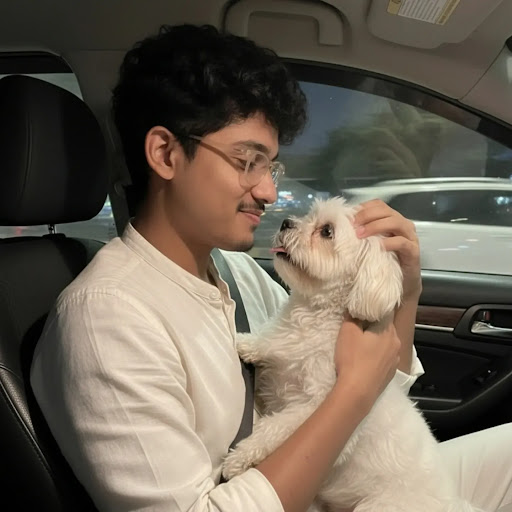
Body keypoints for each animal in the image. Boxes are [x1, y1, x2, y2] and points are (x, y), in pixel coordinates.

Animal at [222, 197, 482, 512]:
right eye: (309, 216)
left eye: (327, 232)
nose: (285, 222)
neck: (315, 316)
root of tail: (450, 502)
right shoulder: (283, 348)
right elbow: (268, 342)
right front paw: (243, 342)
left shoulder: (313, 406)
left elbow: (273, 427)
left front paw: (240, 457)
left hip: (379, 505)